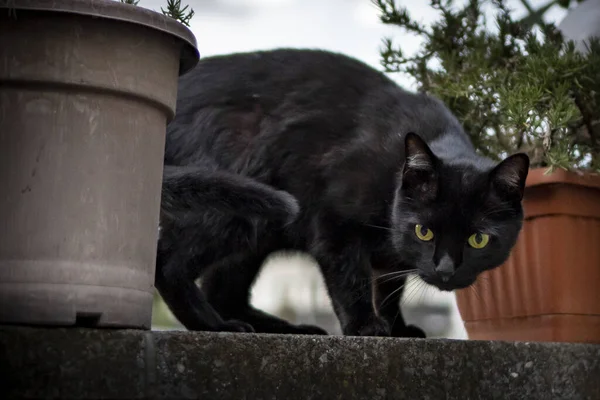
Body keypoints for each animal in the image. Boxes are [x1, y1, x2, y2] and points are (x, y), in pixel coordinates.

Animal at [161, 47, 528, 338]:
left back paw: (279, 327)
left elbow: (390, 289)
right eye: (424, 232)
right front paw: (367, 327)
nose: (446, 270)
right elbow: (352, 281)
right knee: (170, 263)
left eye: (478, 239)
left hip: (259, 228)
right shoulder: (334, 225)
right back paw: (213, 325)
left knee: (222, 290)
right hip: (238, 206)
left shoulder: (394, 256)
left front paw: (397, 327)